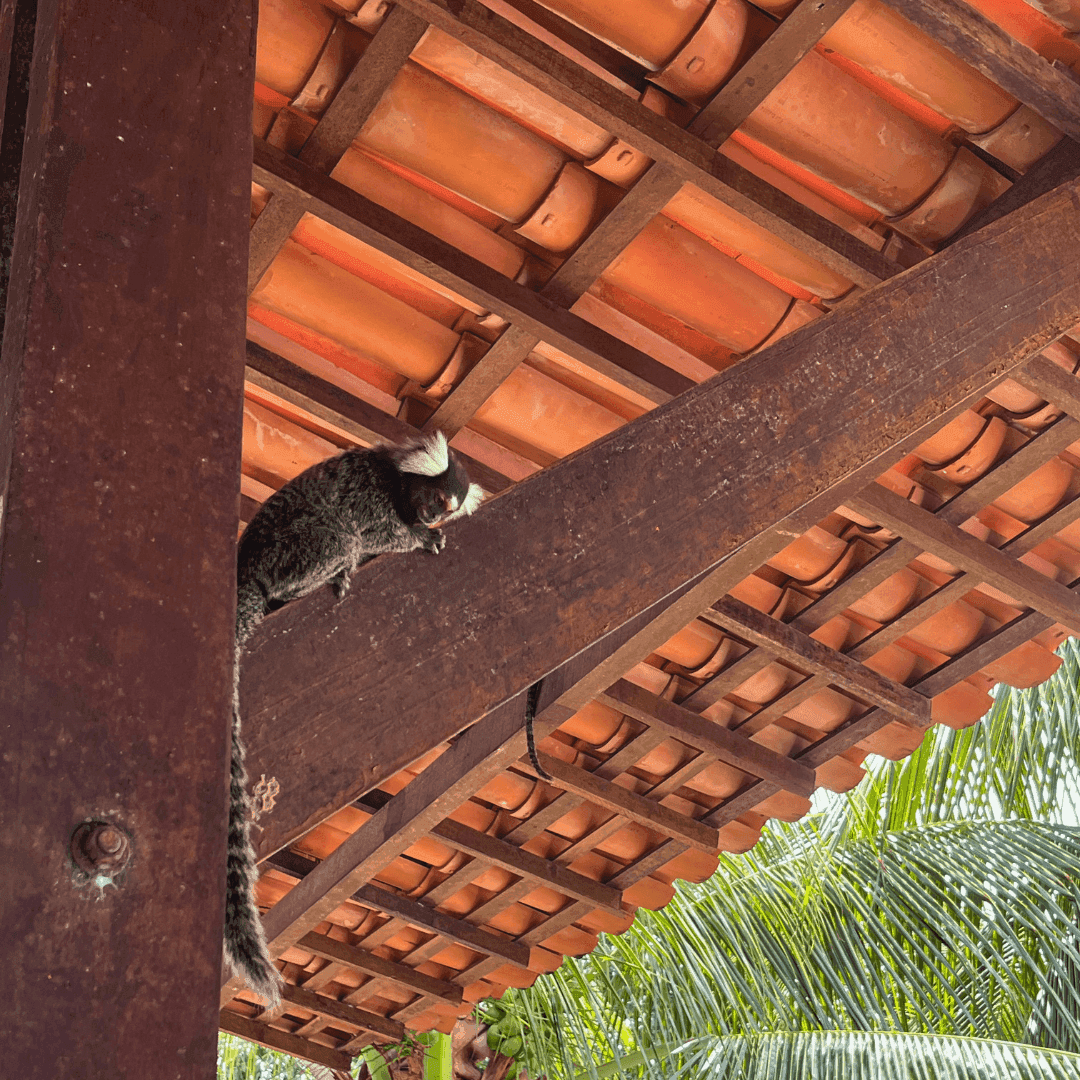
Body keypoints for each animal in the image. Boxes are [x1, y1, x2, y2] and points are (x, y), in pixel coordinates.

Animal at [225, 430, 483, 1004]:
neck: (396, 482)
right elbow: (372, 529)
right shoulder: (368, 494)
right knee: (339, 539)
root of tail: (245, 571)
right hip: (290, 552)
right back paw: (318, 579)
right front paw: (417, 539)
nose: (430, 519)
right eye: (435, 502)